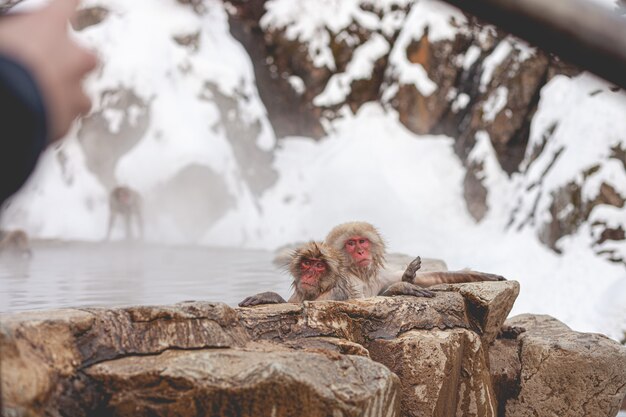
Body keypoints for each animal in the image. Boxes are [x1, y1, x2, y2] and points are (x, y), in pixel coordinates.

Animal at [324, 219, 504, 294]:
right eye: (351, 243)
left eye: (362, 241)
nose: (360, 251)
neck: (360, 274)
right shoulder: (346, 282)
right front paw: (402, 287)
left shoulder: (381, 276)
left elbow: (425, 279)